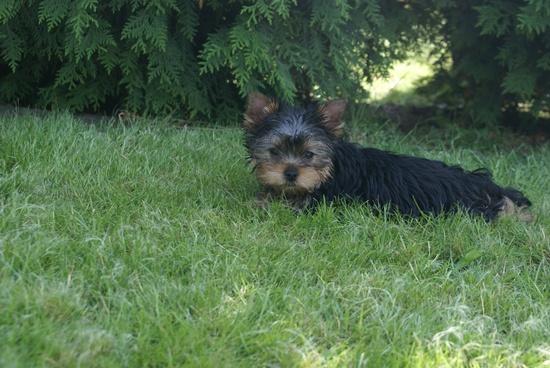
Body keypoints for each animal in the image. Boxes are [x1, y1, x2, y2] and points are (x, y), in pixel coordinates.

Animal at [243, 92, 536, 221]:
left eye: (309, 154)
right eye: (274, 151)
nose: (291, 174)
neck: (330, 170)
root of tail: (487, 186)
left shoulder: (324, 201)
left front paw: (258, 202)